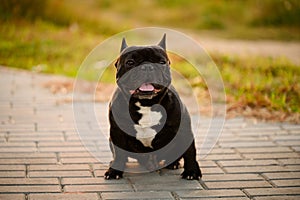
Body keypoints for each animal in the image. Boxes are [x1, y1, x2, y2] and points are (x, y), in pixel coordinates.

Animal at [105, 34, 202, 180]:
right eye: (130, 62)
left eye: (162, 62)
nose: (147, 67)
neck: (147, 104)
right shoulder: (117, 133)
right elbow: (119, 153)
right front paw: (114, 171)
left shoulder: (184, 131)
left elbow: (190, 152)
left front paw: (191, 172)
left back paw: (173, 163)